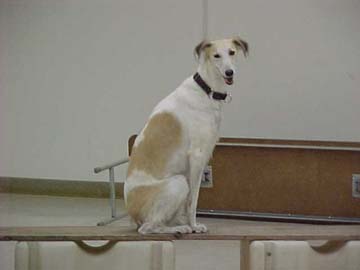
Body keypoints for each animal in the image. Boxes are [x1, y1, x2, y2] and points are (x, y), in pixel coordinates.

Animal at [124, 36, 248, 234]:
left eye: (232, 52)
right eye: (216, 55)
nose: (229, 73)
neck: (205, 90)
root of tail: (131, 212)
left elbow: (188, 204)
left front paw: (187, 222)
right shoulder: (197, 157)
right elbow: (193, 201)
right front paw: (194, 225)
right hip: (178, 182)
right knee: (148, 227)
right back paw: (179, 229)